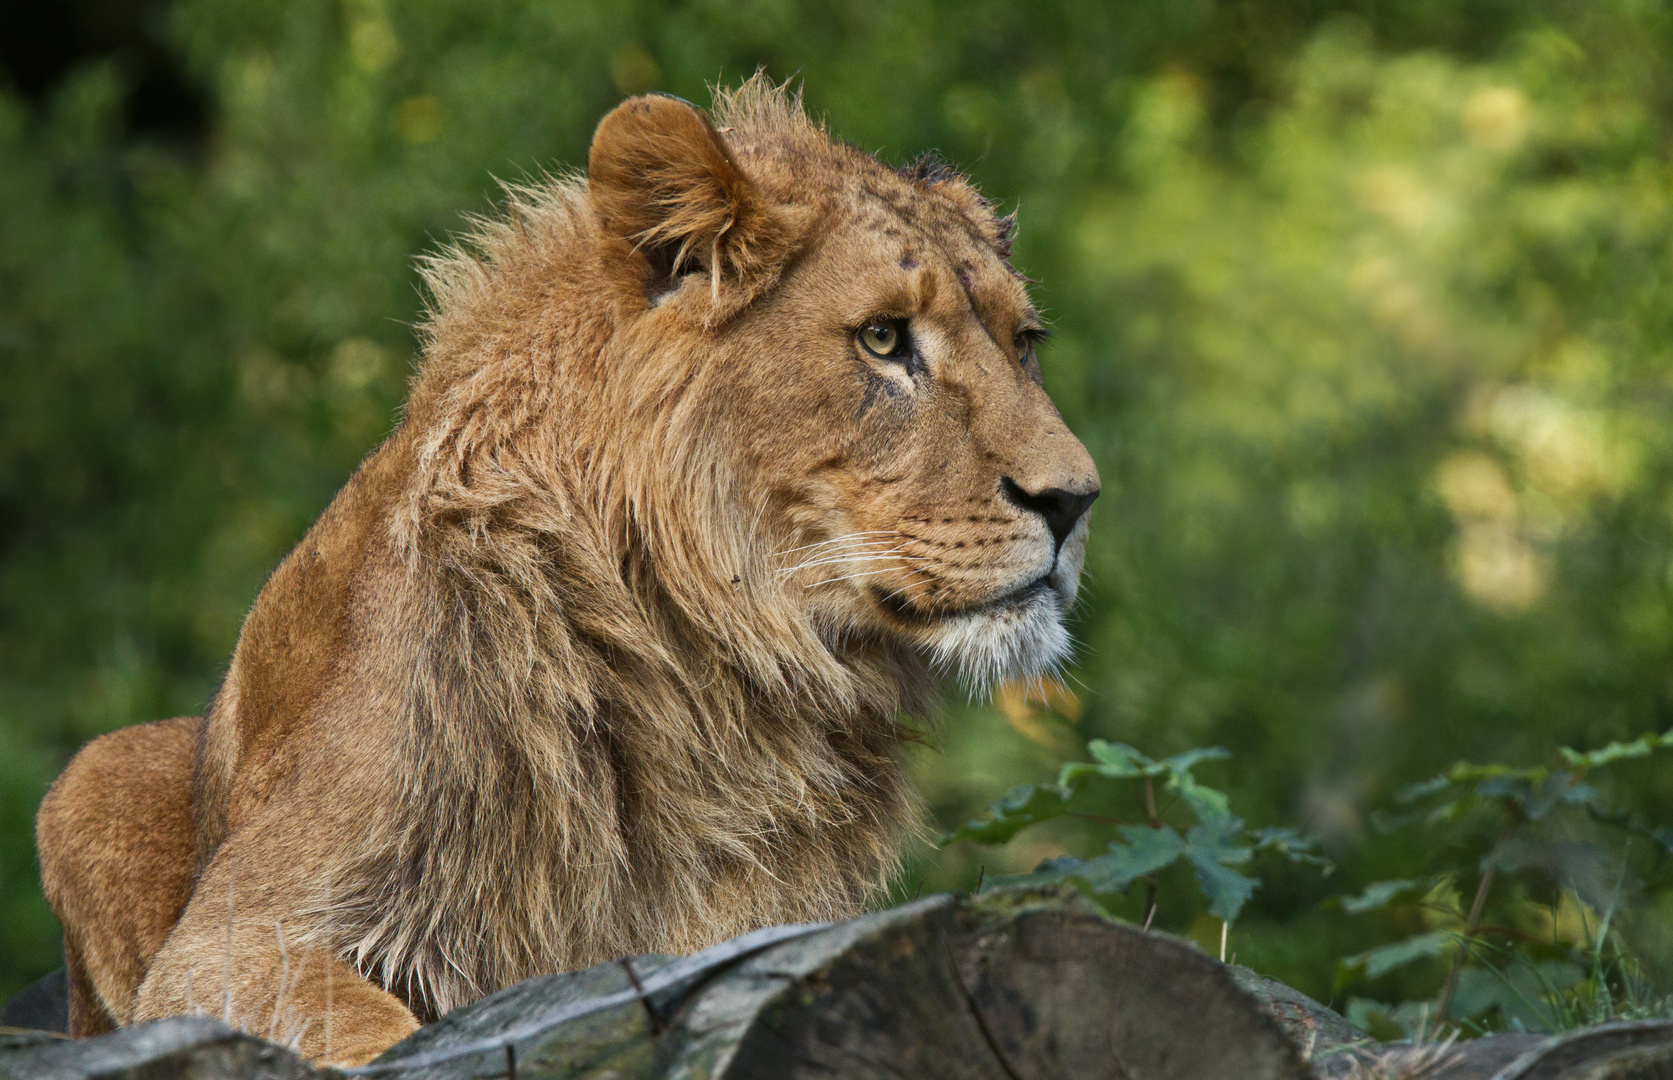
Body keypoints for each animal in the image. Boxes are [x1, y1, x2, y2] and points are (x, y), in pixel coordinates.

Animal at [35, 80, 1097, 1069]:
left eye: (1023, 342)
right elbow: (370, 1029)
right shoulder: (238, 935)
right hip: (91, 780)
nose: (1076, 500)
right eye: (882, 338)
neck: (715, 677)